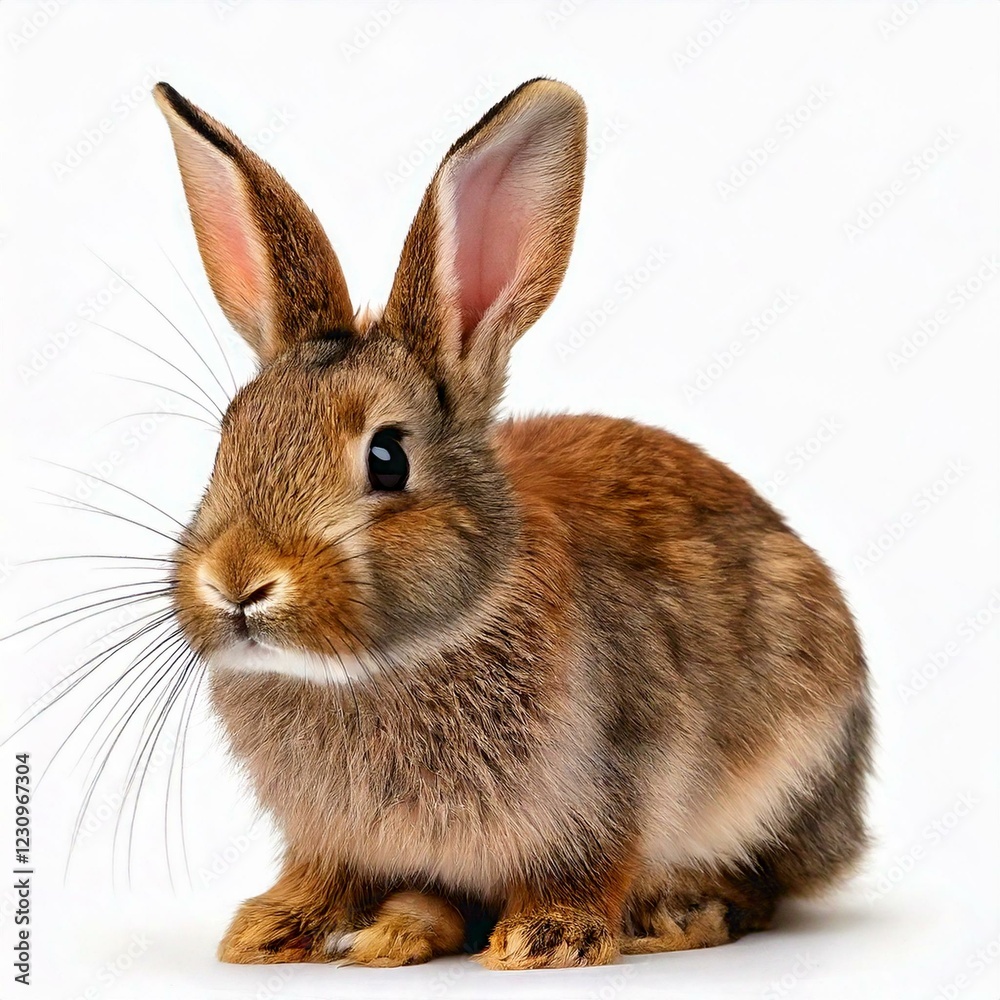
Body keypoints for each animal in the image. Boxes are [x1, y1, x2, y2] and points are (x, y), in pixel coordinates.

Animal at [153, 77, 872, 970]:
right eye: (227, 437)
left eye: (387, 458)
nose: (238, 582)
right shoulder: (335, 839)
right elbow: (327, 873)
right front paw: (270, 927)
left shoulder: (607, 785)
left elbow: (588, 866)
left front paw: (547, 940)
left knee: (762, 882)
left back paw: (669, 912)